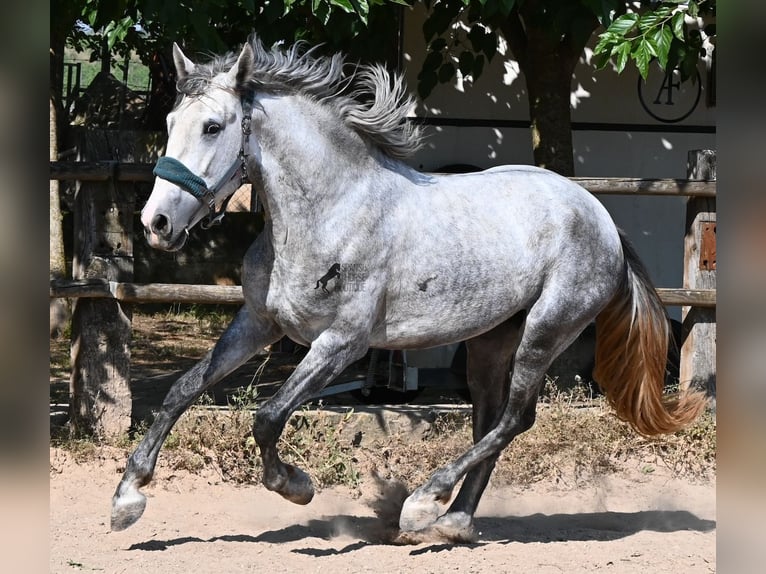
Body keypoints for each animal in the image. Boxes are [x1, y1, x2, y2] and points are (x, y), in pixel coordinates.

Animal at [111, 35, 707, 540]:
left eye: (213, 126)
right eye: (170, 121)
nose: (156, 223)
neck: (331, 212)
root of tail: (601, 217)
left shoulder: (342, 343)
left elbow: (268, 416)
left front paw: (298, 487)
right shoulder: (259, 324)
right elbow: (183, 390)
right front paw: (127, 497)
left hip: (546, 329)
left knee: (516, 417)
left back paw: (424, 503)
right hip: (491, 340)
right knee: (490, 419)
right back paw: (452, 522)